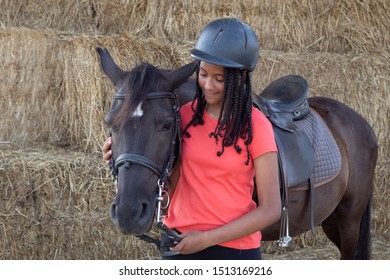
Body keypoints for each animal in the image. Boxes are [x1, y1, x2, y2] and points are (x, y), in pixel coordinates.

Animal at [96, 47, 378, 260]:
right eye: (110, 123)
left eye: (166, 124)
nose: (129, 213)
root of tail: (359, 121)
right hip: (331, 218)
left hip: (349, 219)